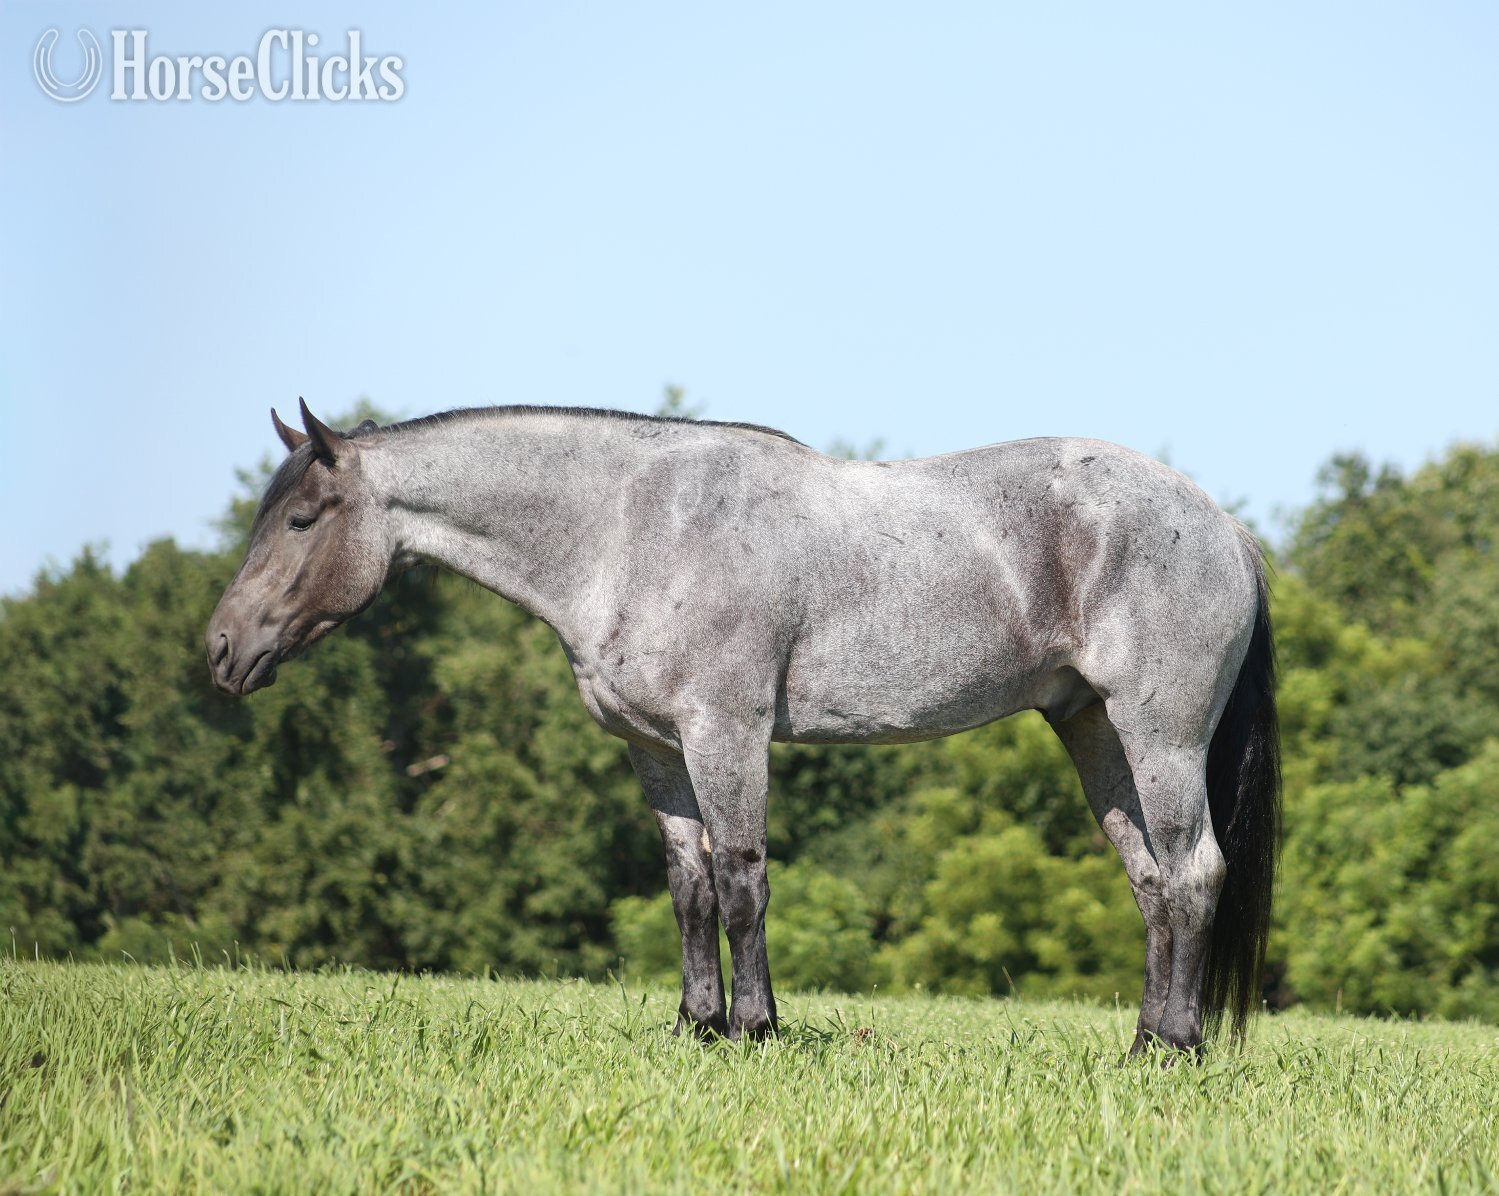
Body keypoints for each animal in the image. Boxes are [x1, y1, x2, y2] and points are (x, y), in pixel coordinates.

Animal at [206, 400, 1279, 1053]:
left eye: (302, 519)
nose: (220, 648)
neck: (631, 528)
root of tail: (1224, 528)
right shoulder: (655, 750)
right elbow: (687, 888)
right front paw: (696, 1024)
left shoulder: (725, 732)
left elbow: (740, 882)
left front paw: (755, 1028)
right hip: (1094, 732)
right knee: (1150, 881)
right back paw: (1139, 1046)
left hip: (1159, 734)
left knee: (1193, 873)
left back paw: (1177, 1048)